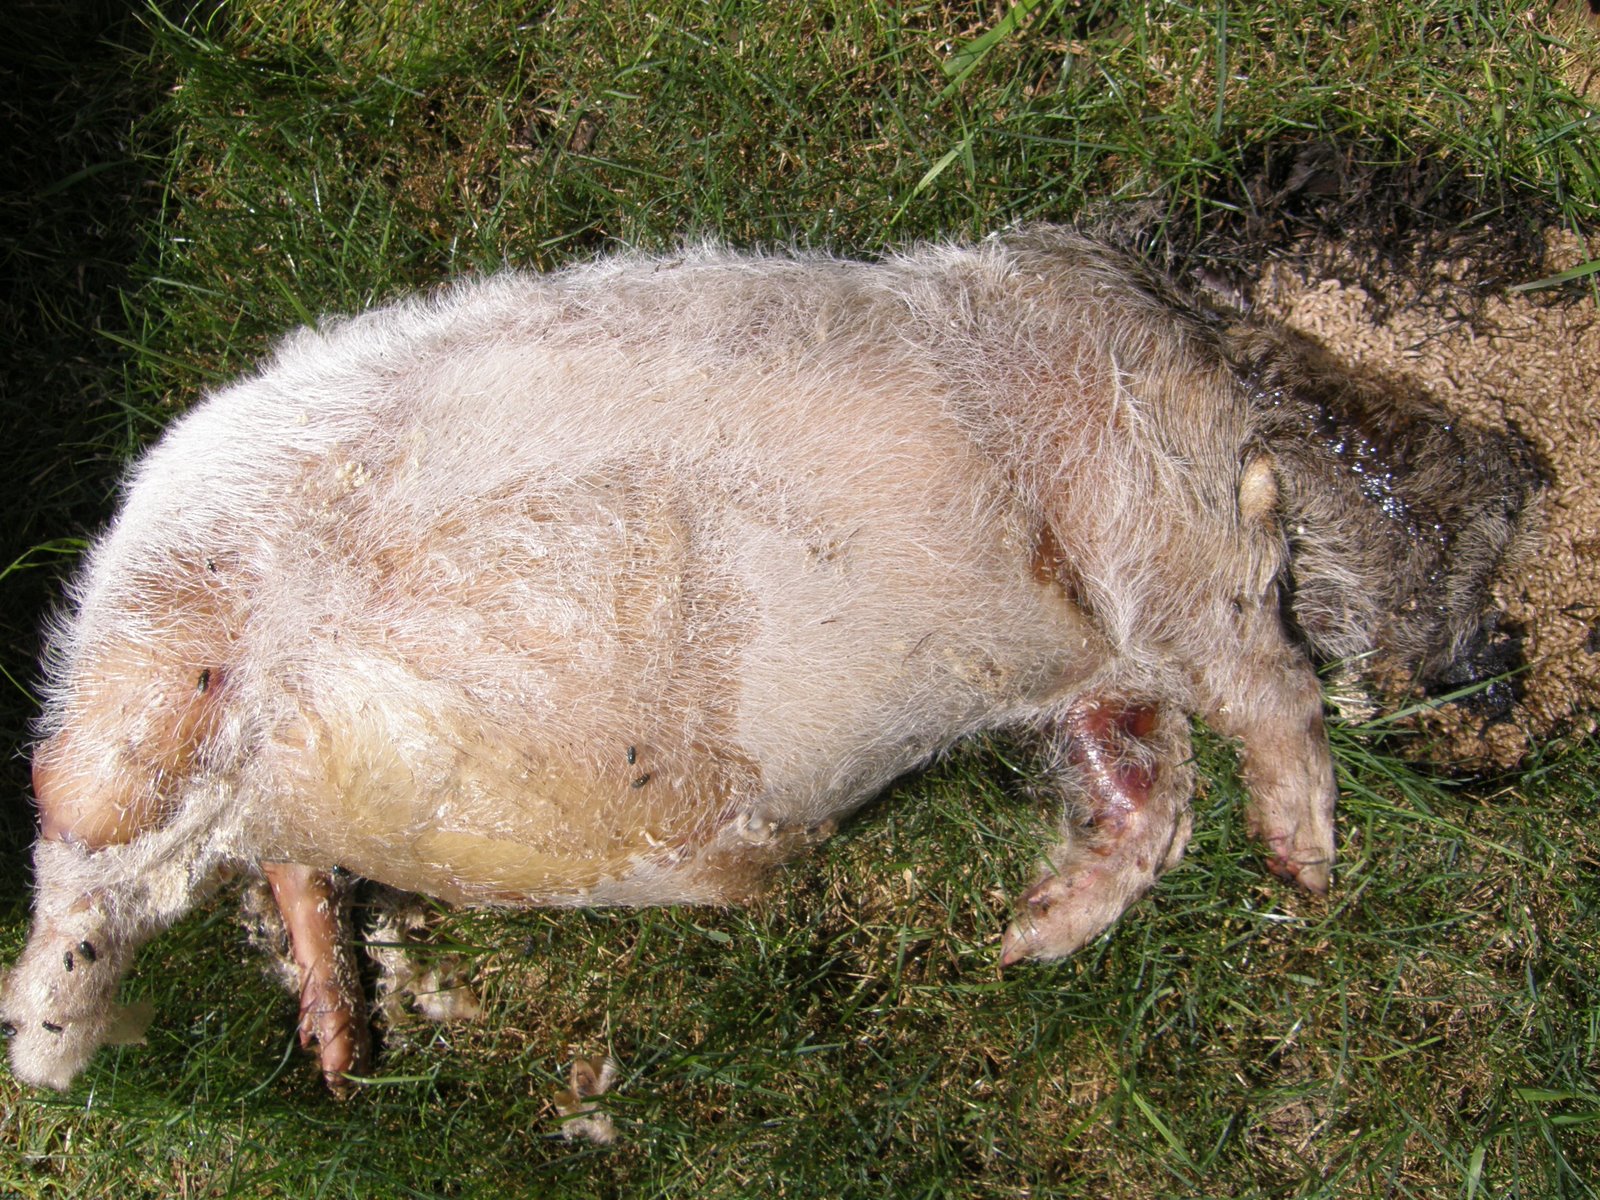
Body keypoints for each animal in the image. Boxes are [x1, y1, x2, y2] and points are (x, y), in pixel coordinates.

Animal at [0, 227, 1541, 1094]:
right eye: (1456, 520)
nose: (1494, 668)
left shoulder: (1096, 675)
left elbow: (1147, 792)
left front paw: (1022, 942)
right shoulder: (1152, 520)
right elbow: (1265, 692)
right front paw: (1308, 872)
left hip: (237, 763)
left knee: (257, 861)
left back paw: (334, 1053)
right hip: (159, 657)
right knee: (77, 826)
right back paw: (51, 1049)